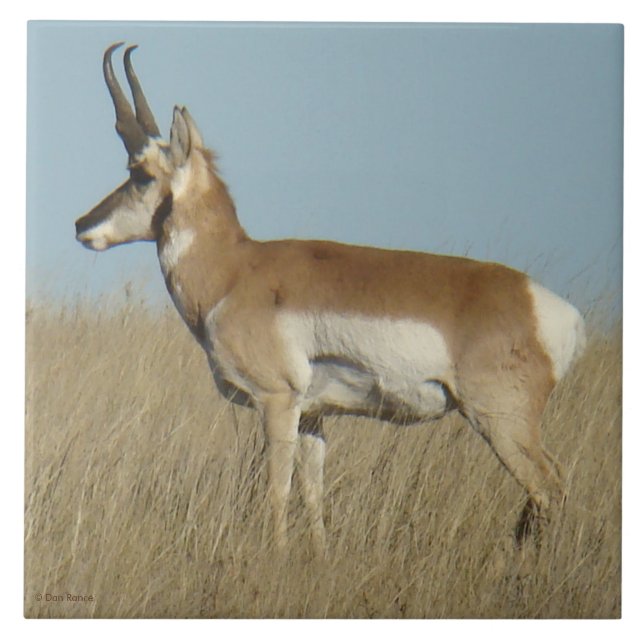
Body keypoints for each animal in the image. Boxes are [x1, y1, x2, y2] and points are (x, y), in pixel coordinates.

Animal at [75, 43, 586, 555]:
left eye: (141, 174)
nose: (81, 225)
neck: (236, 271)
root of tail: (554, 310)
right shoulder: (313, 418)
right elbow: (312, 493)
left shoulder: (277, 402)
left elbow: (277, 491)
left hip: (500, 422)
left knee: (550, 487)